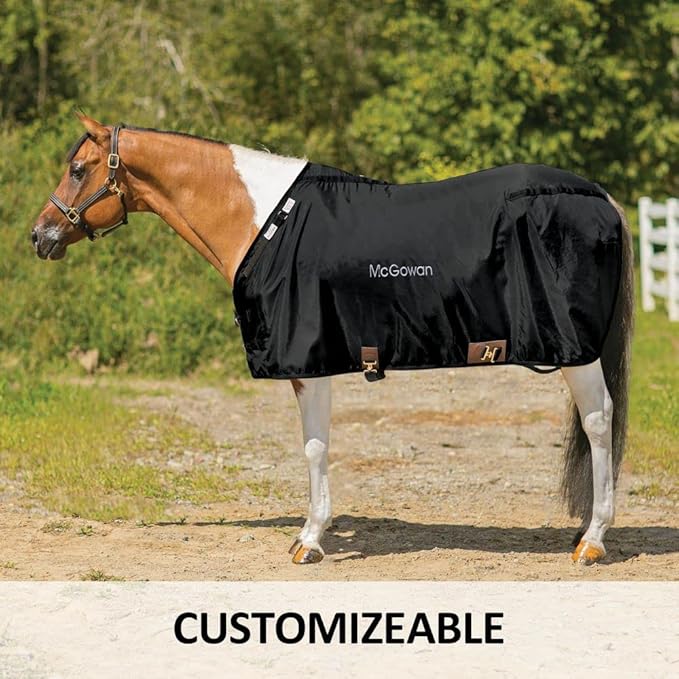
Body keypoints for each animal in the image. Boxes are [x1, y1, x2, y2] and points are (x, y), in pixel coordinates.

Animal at [32, 113, 633, 566]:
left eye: (78, 169)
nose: (40, 236)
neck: (263, 220)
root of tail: (602, 197)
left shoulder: (308, 361)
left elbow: (315, 446)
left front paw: (309, 540)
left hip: (578, 352)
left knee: (598, 422)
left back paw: (592, 541)